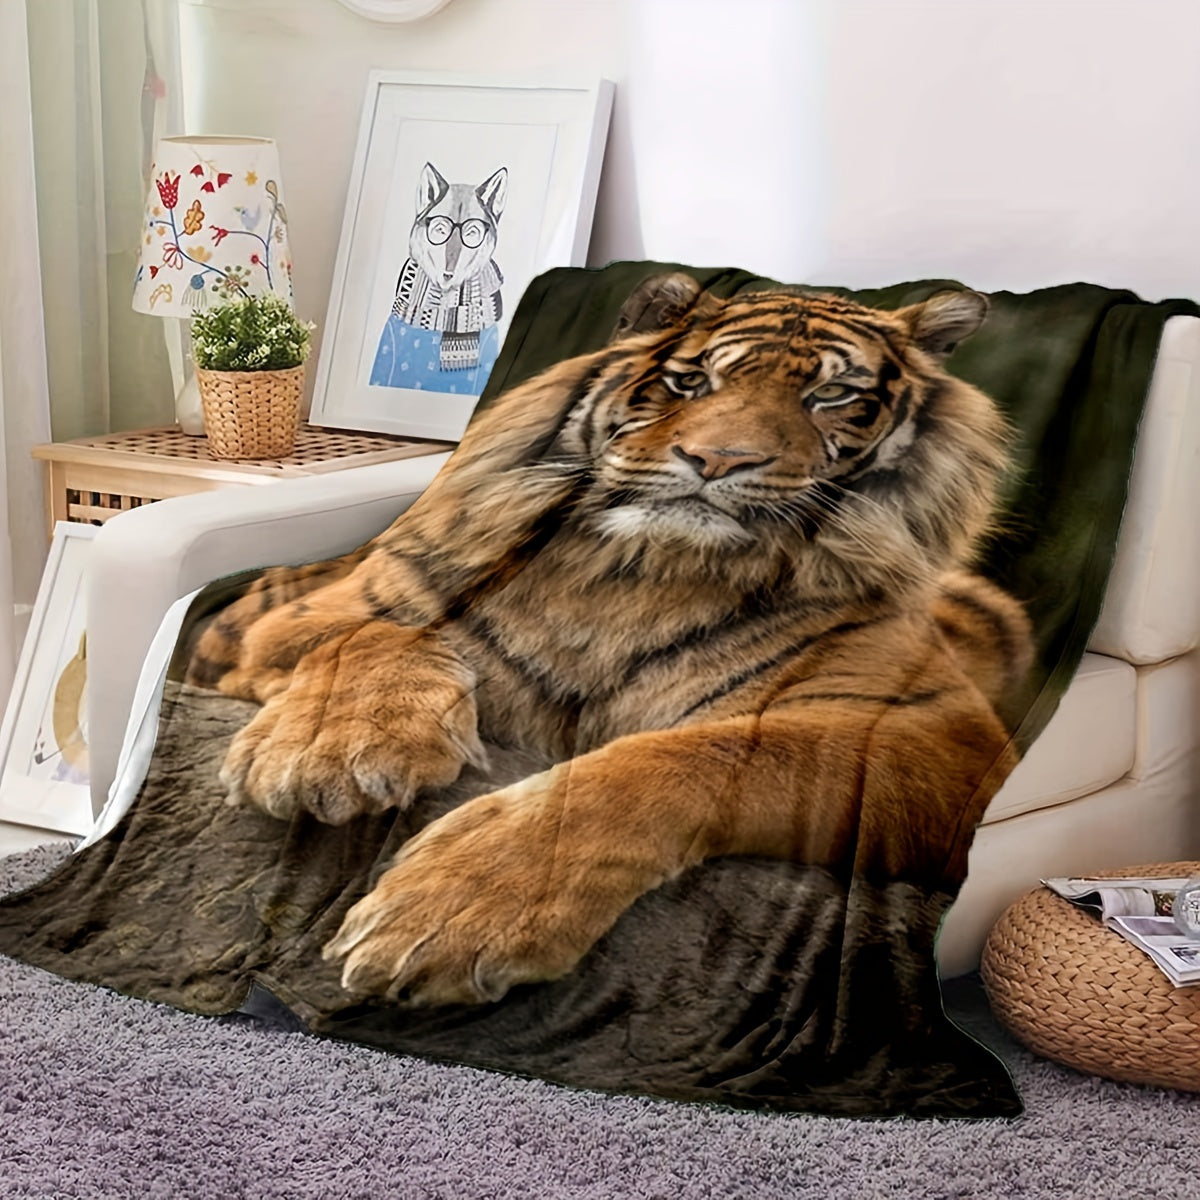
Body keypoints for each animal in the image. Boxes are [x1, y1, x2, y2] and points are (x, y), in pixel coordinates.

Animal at [189, 272, 1032, 1008]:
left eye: (831, 396)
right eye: (691, 383)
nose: (717, 461)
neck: (633, 573)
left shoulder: (938, 731)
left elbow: (702, 753)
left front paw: (447, 911)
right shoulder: (335, 608)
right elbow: (375, 639)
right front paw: (323, 756)